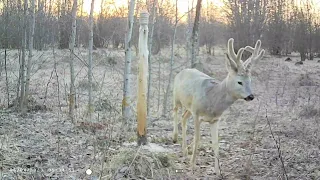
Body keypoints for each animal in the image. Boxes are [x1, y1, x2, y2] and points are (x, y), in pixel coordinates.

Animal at [172, 37, 264, 174]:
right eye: (239, 82)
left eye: (250, 81)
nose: (251, 96)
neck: (212, 100)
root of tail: (184, 70)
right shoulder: (197, 114)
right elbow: (197, 139)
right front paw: (192, 166)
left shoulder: (215, 119)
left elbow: (216, 143)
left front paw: (218, 170)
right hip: (176, 97)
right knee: (175, 111)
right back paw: (174, 137)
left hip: (189, 107)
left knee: (183, 118)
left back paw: (184, 151)